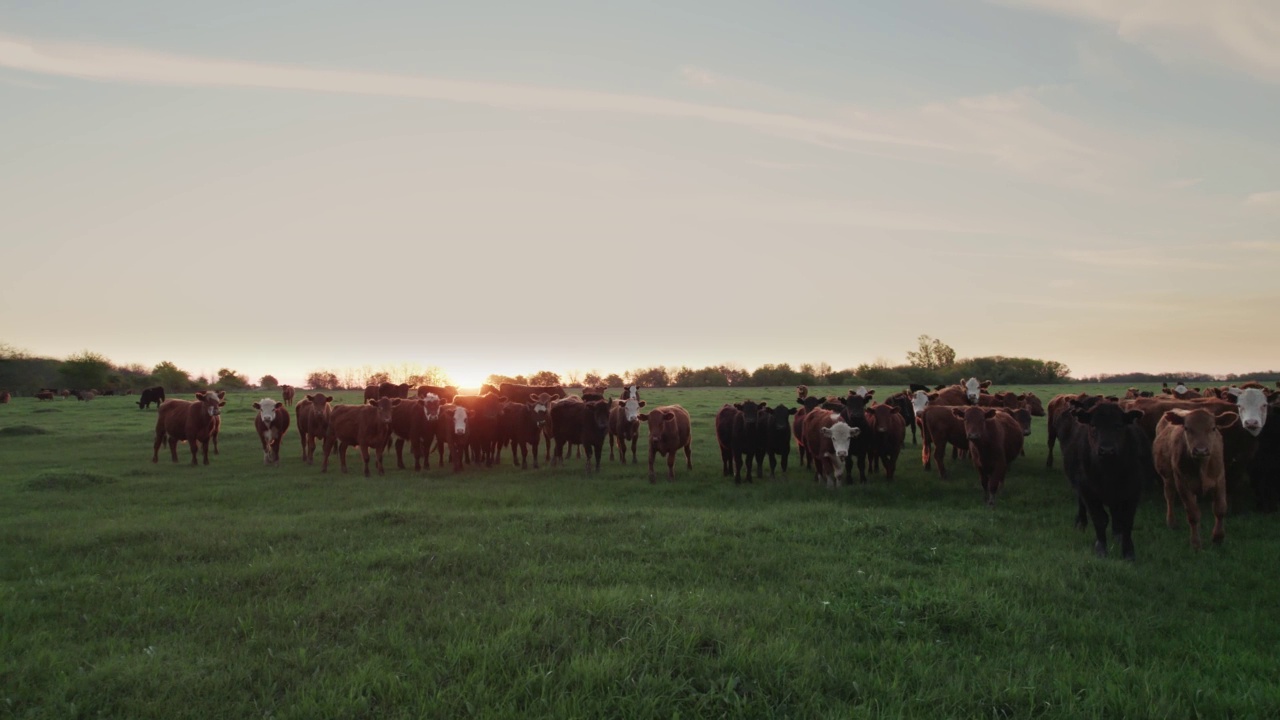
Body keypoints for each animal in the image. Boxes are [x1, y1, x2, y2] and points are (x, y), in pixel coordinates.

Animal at [1059, 399, 1152, 558]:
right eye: (1093, 425)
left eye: (1119, 425)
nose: (1106, 450)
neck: (1109, 472)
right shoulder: (1087, 491)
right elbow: (1100, 519)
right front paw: (1101, 548)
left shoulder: (1133, 491)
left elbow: (1126, 520)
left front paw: (1128, 551)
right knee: (1082, 504)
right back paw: (1081, 523)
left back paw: (1117, 534)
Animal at [1152, 407, 1239, 545]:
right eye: (1187, 428)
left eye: (1213, 428)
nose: (1201, 450)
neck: (1202, 466)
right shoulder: (1183, 484)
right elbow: (1193, 514)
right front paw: (1196, 543)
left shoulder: (1220, 479)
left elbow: (1220, 509)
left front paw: (1218, 537)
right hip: (1167, 477)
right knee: (1170, 496)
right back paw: (1171, 522)